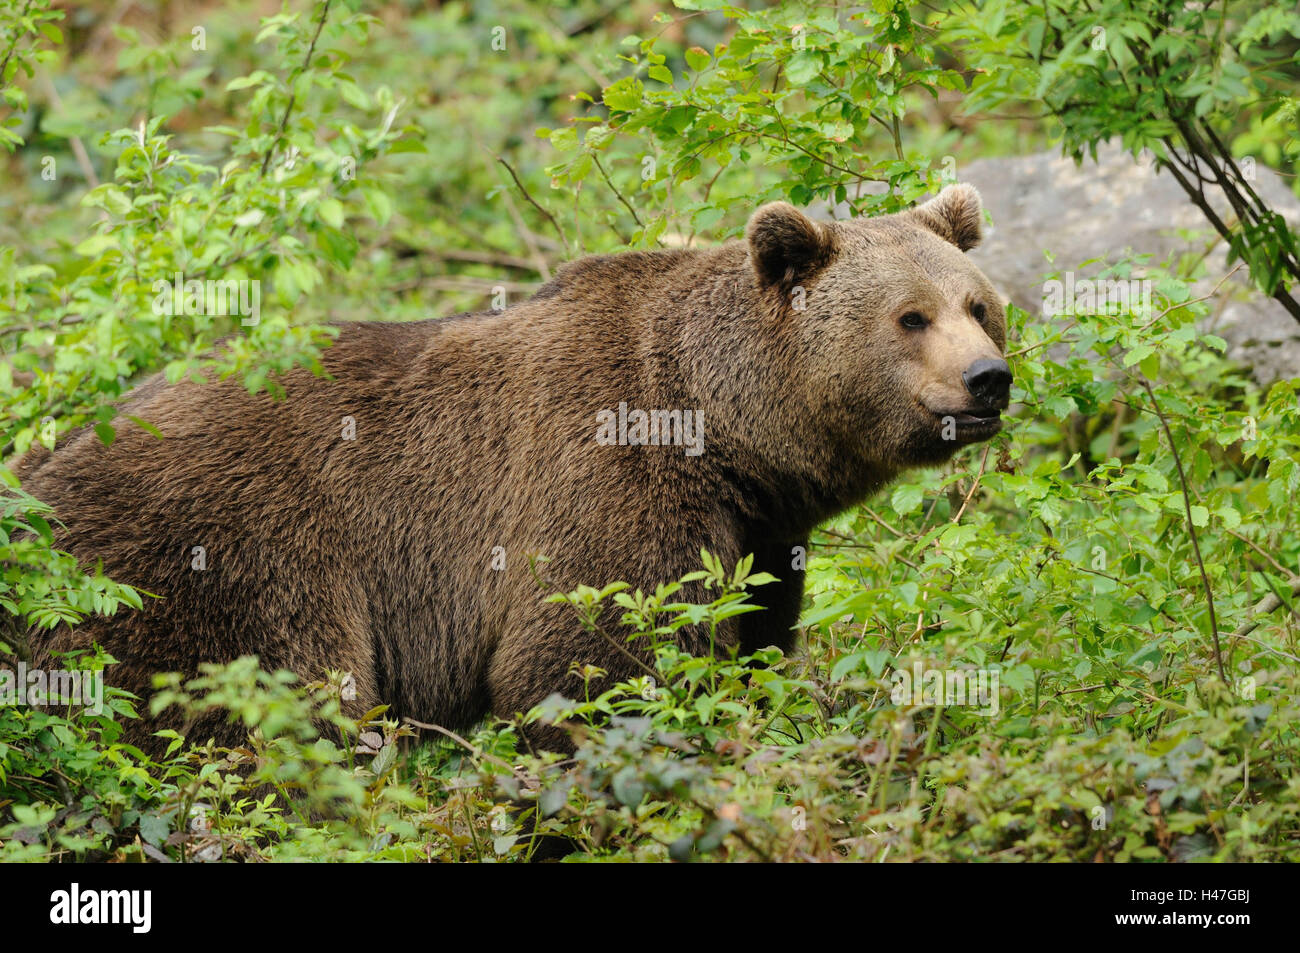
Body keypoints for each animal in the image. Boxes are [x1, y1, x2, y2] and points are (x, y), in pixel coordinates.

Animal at [15, 184, 1013, 748]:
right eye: (910, 316)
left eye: (978, 305)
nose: (988, 379)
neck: (725, 435)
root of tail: (32, 477)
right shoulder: (607, 484)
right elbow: (591, 660)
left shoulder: (762, 531)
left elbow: (752, 638)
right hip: (219, 560)